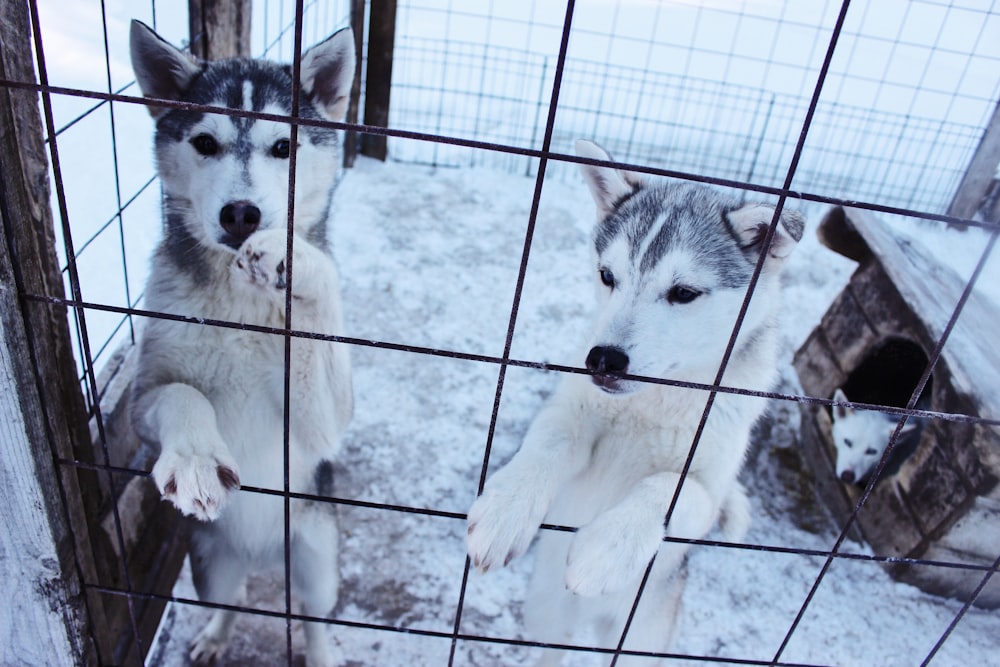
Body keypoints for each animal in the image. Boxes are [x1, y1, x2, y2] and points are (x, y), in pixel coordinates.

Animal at [129, 20, 356, 667]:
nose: (242, 214)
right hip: (211, 563)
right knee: (230, 602)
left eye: (285, 148)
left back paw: (320, 651)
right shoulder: (142, 399)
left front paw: (296, 264)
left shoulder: (322, 424)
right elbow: (180, 395)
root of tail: (262, 557)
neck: (235, 302)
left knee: (312, 615)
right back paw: (213, 638)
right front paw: (195, 459)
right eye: (205, 142)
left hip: (316, 554)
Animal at [468, 141, 804, 664]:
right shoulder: (572, 415)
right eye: (607, 276)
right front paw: (507, 509)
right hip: (545, 612)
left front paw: (606, 548)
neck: (655, 403)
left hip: (642, 638)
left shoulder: (708, 484)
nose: (603, 359)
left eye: (684, 292)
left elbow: (671, 487)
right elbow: (550, 441)